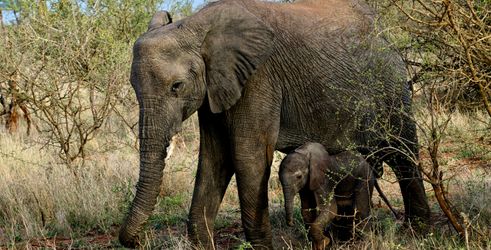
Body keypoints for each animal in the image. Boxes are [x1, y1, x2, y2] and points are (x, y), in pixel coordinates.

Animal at [119, 0, 430, 248]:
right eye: (133, 87)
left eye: (176, 86)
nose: (137, 240)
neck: (196, 26)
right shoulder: (214, 89)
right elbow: (214, 158)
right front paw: (202, 245)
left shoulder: (258, 78)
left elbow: (248, 157)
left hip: (390, 85)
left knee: (402, 152)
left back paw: (418, 232)